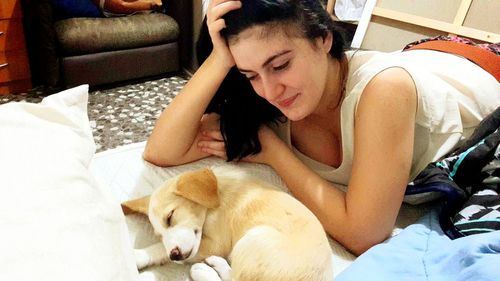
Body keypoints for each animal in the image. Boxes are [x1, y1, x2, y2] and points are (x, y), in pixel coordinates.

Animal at [120, 167, 332, 278]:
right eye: (159, 234)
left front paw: (137, 256)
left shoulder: (216, 244)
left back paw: (204, 270)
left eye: (170, 217)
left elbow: (160, 250)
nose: (175, 255)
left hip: (253, 238)